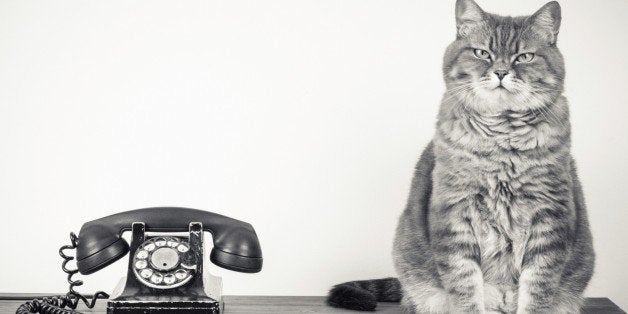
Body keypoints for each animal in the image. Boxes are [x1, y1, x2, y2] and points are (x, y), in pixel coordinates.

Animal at [326, 1, 596, 312]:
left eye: (524, 57)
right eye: (482, 53)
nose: (501, 72)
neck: (500, 140)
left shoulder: (550, 216)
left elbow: (537, 288)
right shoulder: (454, 212)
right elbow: (464, 283)